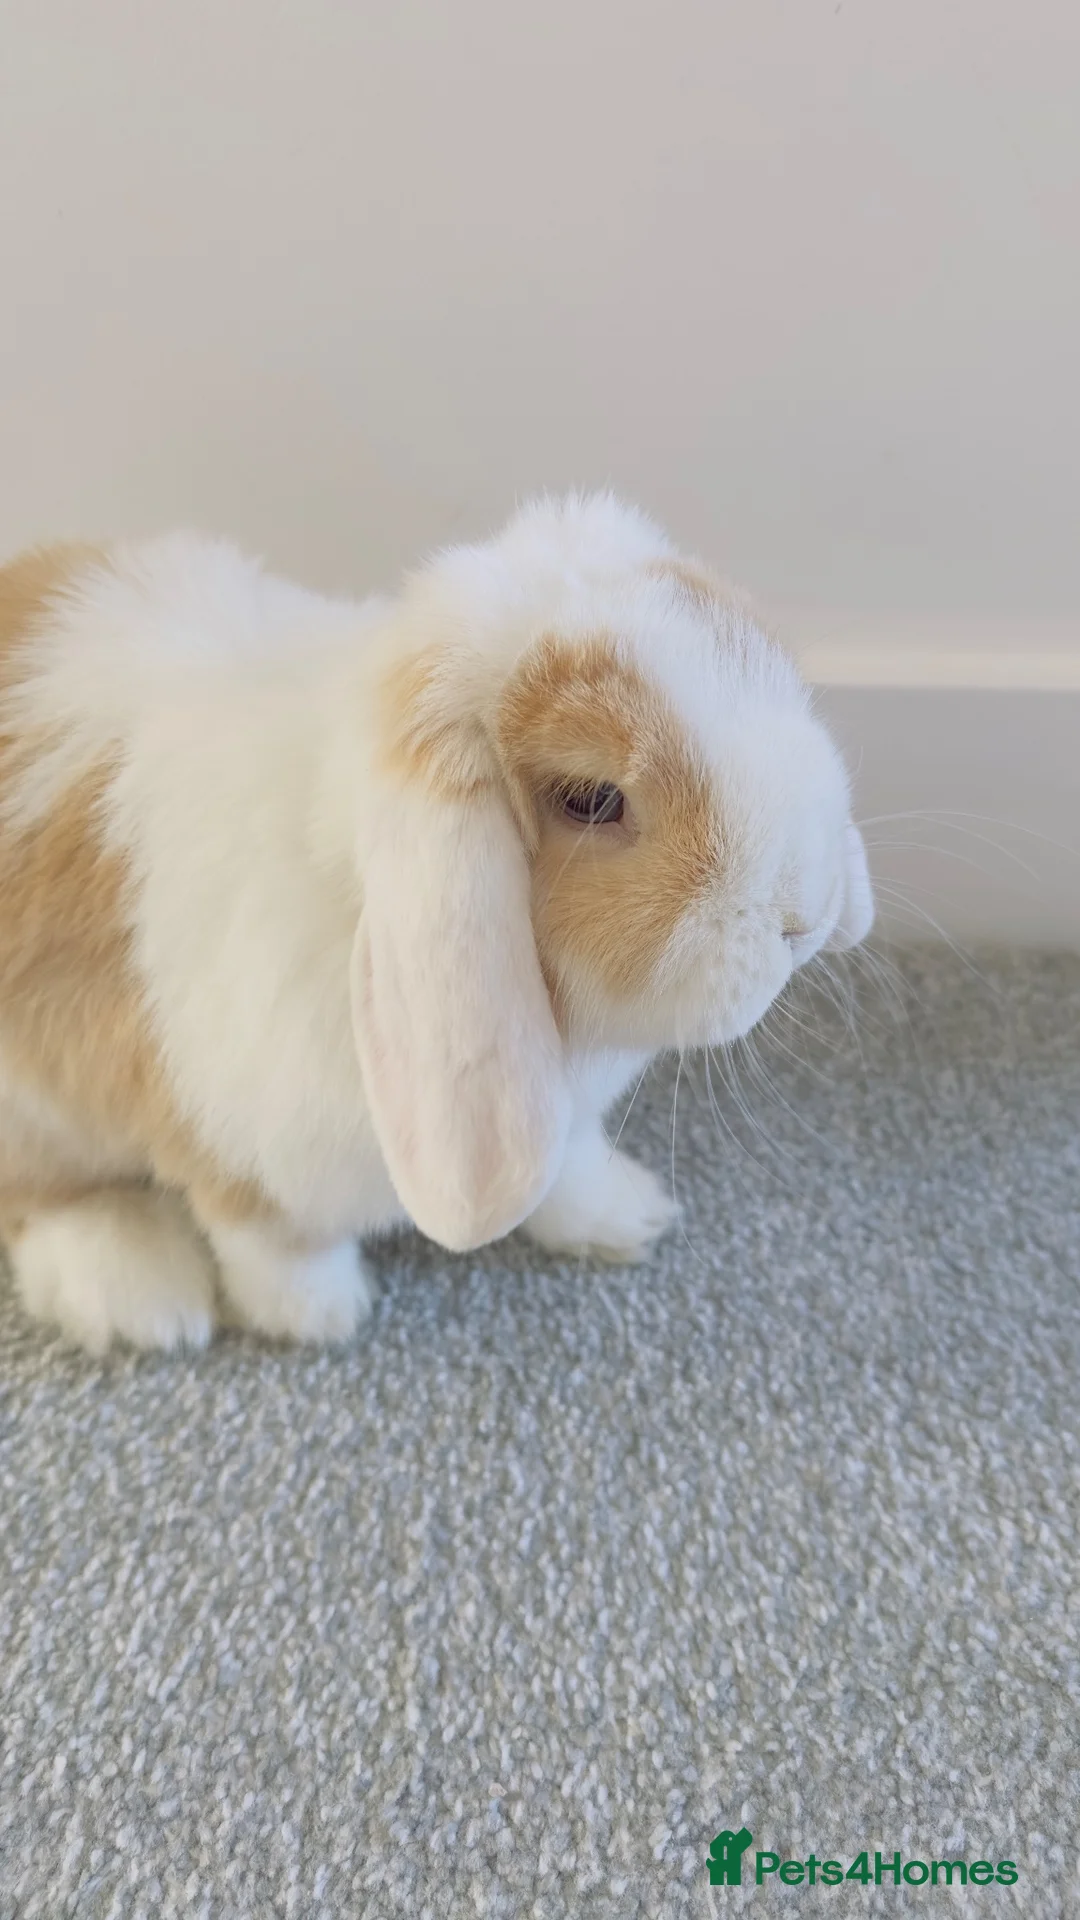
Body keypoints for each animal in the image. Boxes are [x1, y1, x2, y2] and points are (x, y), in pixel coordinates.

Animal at [0, 493, 873, 1354]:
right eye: (592, 800)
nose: (808, 914)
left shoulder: (555, 1123)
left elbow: (569, 1168)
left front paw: (629, 1216)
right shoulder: (247, 1144)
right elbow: (275, 1241)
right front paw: (322, 1317)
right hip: (38, 1110)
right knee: (47, 1199)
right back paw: (142, 1297)